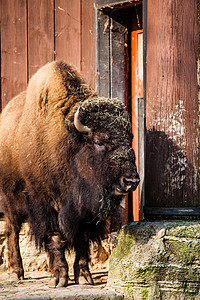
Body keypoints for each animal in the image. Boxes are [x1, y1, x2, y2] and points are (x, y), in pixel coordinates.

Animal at [0, 60, 139, 286]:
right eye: (99, 141)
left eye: (130, 139)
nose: (131, 181)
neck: (68, 144)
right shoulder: (45, 203)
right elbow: (55, 237)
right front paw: (58, 278)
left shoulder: (84, 211)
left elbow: (81, 240)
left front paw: (84, 276)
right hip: (10, 200)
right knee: (12, 230)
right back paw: (15, 272)